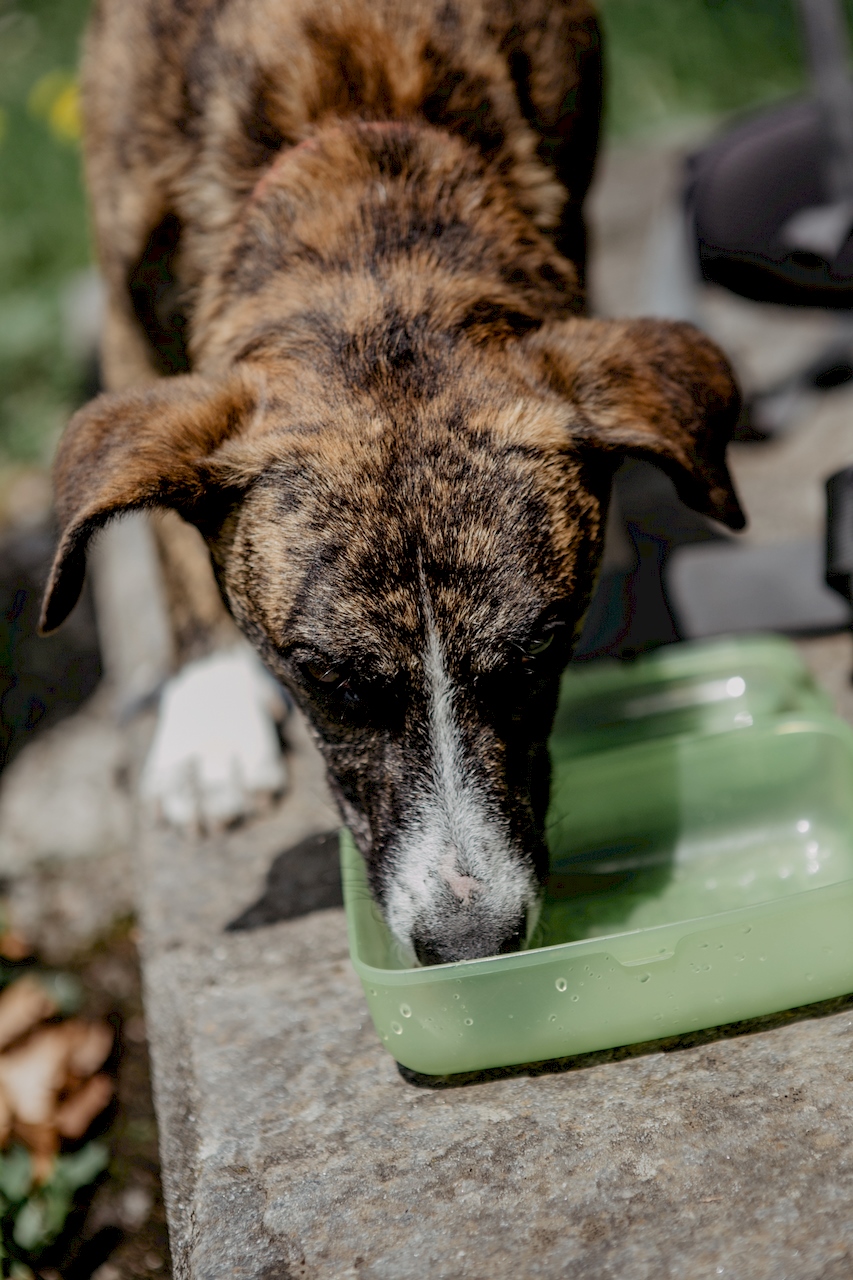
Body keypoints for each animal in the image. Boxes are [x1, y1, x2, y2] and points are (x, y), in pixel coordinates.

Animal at [36, 0, 742, 962]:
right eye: (332, 684)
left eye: (537, 657)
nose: (469, 942)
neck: (356, 154)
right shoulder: (123, 299)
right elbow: (171, 556)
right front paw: (210, 718)